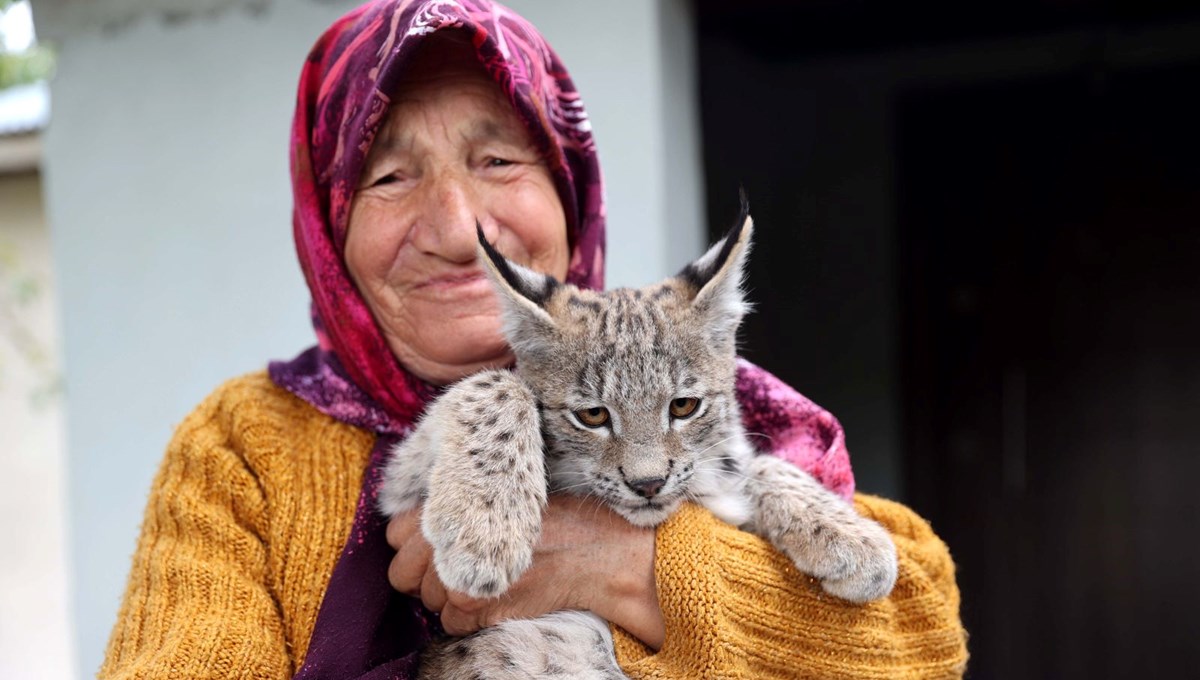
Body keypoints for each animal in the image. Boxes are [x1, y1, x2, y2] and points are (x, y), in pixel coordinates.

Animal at [379, 205, 897, 676]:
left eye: (683, 406)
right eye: (593, 415)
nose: (648, 485)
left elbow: (763, 463)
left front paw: (856, 539)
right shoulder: (396, 489)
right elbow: (494, 382)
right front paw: (486, 535)